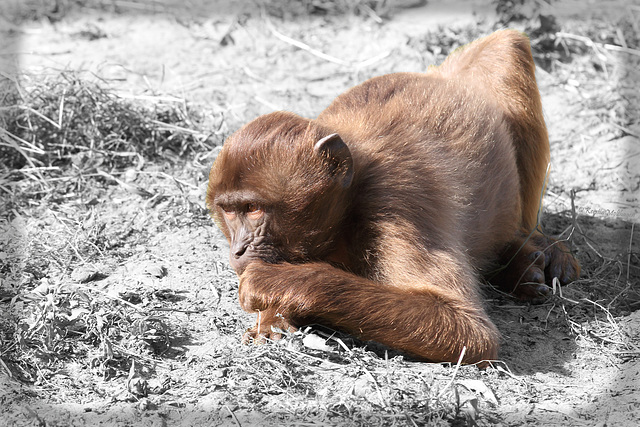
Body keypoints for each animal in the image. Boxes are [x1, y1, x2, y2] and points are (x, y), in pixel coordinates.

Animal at [206, 29, 580, 364]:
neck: (352, 193)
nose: (238, 250)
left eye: (253, 208)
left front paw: (273, 282)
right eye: (229, 212)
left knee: (508, 46)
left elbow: (468, 331)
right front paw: (274, 318)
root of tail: (438, 76)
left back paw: (528, 247)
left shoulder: (395, 203)